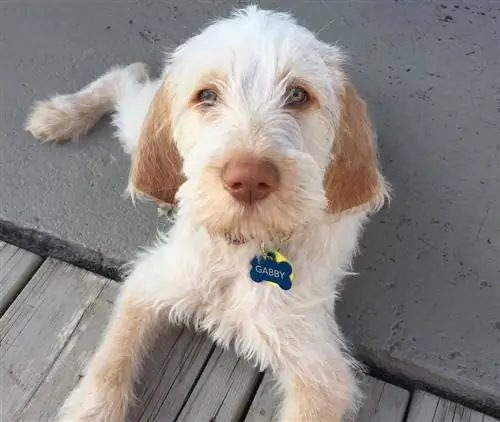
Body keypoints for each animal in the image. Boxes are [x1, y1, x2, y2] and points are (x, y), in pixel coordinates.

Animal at [24, 6, 390, 422]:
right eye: (207, 96)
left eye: (297, 94)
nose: (249, 179)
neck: (239, 247)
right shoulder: (152, 282)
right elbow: (112, 358)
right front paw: (93, 408)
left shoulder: (321, 372)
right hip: (140, 124)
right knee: (124, 79)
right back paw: (61, 114)